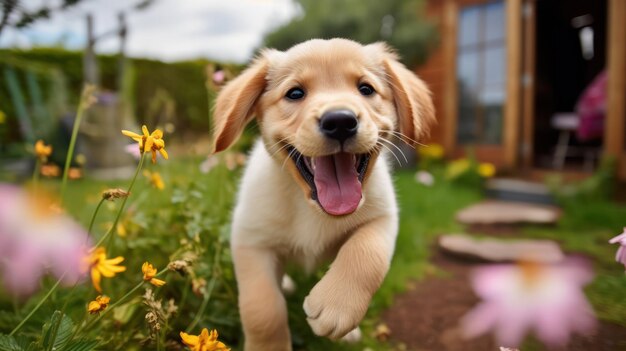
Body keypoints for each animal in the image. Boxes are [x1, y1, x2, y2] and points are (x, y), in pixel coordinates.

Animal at [212, 38, 432, 351]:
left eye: (366, 89)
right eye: (295, 93)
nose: (340, 121)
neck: (309, 206)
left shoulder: (383, 217)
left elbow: (367, 253)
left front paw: (337, 304)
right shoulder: (250, 241)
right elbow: (262, 309)